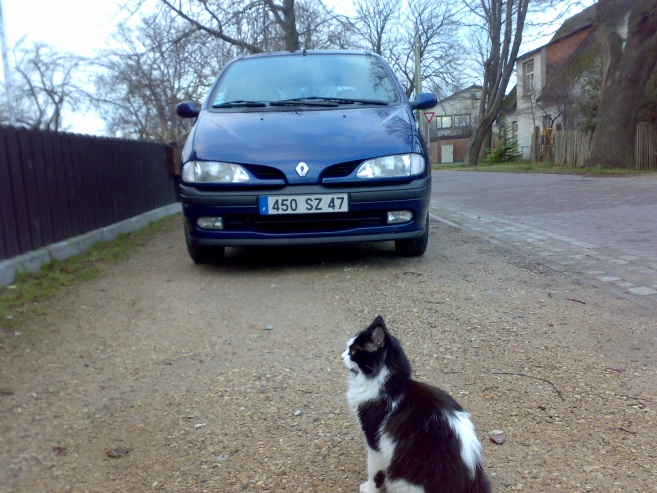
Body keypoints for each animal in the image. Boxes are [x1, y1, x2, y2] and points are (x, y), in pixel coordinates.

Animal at [344, 316, 492, 492]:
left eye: (353, 351)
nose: (341, 356)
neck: (392, 386)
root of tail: (471, 482)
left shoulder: (374, 441)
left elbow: (374, 471)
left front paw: (369, 488)